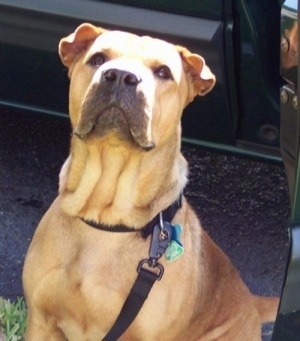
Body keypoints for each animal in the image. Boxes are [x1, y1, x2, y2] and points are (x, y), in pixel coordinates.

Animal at [23, 22, 278, 338]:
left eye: (163, 72)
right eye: (98, 59)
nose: (120, 76)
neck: (105, 217)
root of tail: (250, 301)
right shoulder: (40, 321)